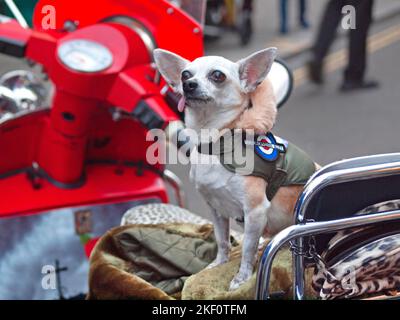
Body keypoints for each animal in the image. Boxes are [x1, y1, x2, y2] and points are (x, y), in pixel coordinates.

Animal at [154, 47, 318, 290]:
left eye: (217, 75)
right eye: (185, 74)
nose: (188, 84)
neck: (216, 145)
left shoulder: (255, 211)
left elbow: (247, 250)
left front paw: (241, 278)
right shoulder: (216, 209)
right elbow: (222, 240)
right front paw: (218, 263)